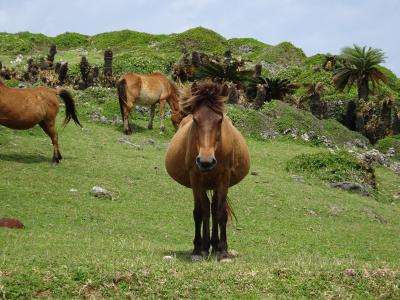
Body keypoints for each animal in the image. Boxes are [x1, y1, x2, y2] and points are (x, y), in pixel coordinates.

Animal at [166, 81, 250, 262]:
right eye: (195, 119)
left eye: (220, 120)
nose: (206, 162)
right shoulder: (195, 178)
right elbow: (199, 212)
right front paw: (199, 249)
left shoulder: (224, 178)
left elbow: (220, 213)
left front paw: (222, 251)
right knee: (206, 209)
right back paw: (206, 246)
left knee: (213, 208)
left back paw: (215, 245)